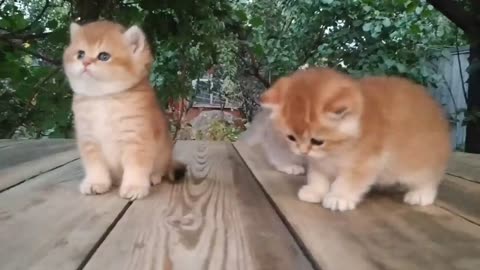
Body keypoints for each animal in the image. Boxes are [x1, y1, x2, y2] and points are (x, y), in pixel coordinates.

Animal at [62, 19, 185, 200]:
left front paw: (134, 186)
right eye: (80, 54)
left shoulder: (136, 139)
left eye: (104, 56)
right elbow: (95, 167)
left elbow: (136, 167)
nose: (85, 62)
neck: (103, 98)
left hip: (164, 156)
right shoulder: (89, 141)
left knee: (161, 170)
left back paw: (154, 177)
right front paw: (96, 183)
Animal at [260, 67, 452, 211]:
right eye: (291, 137)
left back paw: (421, 195)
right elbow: (318, 177)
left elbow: (348, 182)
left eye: (317, 141)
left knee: (429, 179)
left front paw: (338, 197)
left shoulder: (365, 163)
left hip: (419, 164)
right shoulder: (319, 163)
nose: (302, 151)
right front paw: (315, 191)